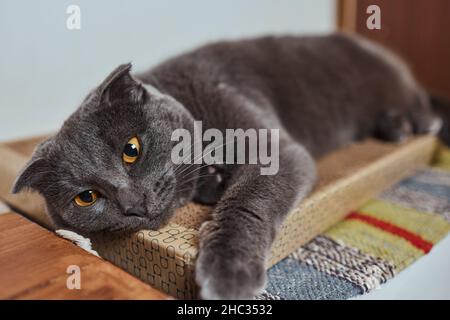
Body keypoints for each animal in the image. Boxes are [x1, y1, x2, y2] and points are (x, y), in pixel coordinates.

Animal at [13, 33, 442, 298]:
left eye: (131, 149)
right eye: (86, 197)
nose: (132, 203)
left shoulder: (274, 149)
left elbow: (247, 200)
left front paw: (228, 272)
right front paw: (213, 184)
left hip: (399, 87)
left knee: (426, 107)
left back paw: (410, 125)